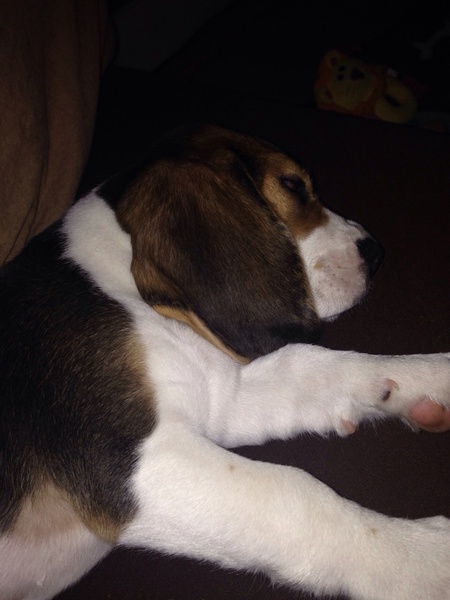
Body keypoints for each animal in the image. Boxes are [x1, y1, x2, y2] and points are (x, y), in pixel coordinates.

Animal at [1, 124, 449, 600]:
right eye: (292, 185)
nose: (377, 253)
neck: (117, 280)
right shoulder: (134, 465)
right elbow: (297, 493)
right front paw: (425, 557)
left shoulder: (221, 399)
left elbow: (317, 365)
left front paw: (436, 377)